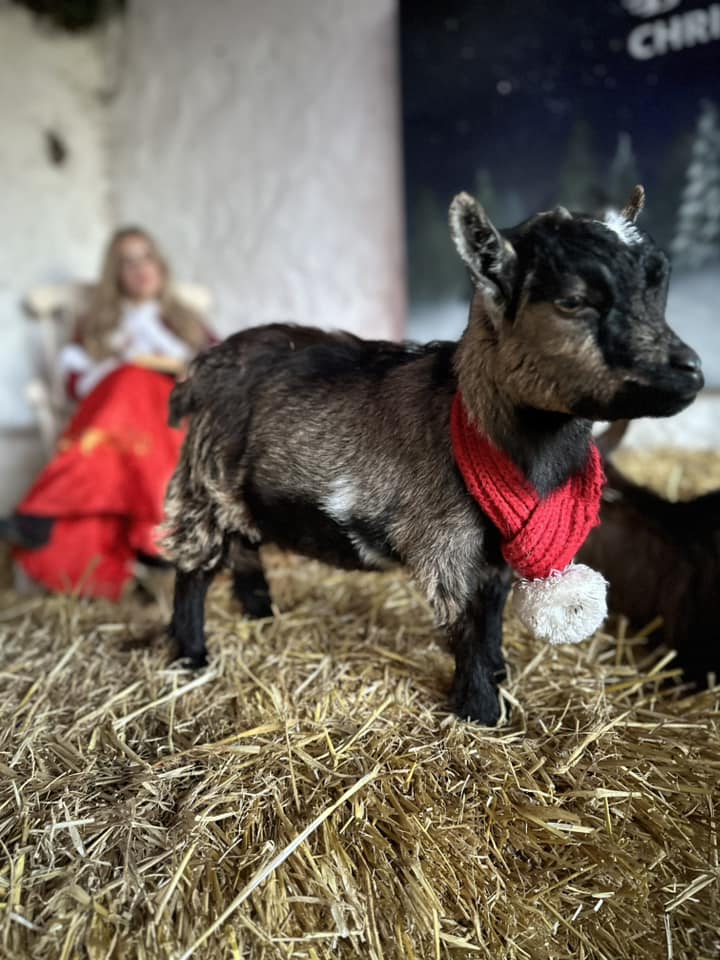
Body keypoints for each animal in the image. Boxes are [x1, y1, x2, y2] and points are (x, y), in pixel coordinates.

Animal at [163, 186, 703, 725]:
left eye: (658, 285)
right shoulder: (446, 546)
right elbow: (466, 624)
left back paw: (259, 613)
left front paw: (497, 672)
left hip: (239, 495)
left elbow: (491, 613)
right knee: (194, 570)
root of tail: (204, 369)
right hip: (206, 483)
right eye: (573, 300)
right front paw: (481, 710)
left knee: (244, 546)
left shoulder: (495, 551)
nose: (691, 372)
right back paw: (190, 655)